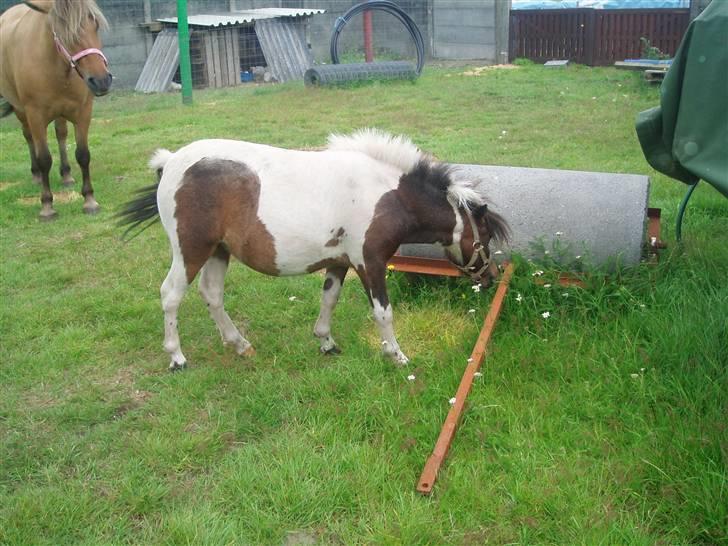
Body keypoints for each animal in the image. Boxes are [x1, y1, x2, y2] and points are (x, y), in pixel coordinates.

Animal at [0, 0, 112, 220]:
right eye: (64, 33)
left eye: (95, 25)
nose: (102, 81)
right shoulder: (35, 114)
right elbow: (44, 158)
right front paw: (47, 206)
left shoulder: (83, 111)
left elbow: (83, 154)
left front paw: (89, 200)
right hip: (21, 111)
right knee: (29, 137)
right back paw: (36, 175)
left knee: (61, 134)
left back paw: (67, 175)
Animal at [118, 129, 510, 371]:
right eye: (485, 234)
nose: (491, 276)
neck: (388, 195)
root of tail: (171, 161)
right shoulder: (370, 263)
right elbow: (383, 314)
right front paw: (397, 356)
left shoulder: (339, 262)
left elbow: (329, 300)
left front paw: (326, 342)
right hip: (191, 251)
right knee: (171, 295)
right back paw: (177, 357)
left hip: (218, 251)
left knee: (212, 295)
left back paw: (240, 344)